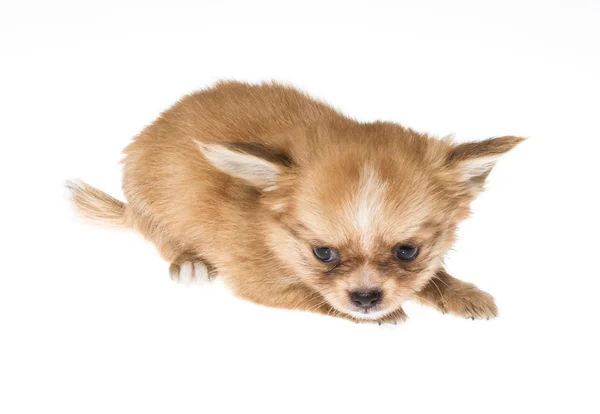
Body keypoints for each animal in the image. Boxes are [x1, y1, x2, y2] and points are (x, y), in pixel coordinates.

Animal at [68, 81, 524, 324]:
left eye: (407, 251)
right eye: (323, 253)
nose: (366, 298)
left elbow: (432, 276)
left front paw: (462, 293)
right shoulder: (260, 281)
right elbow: (314, 296)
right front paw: (387, 314)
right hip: (152, 203)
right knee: (163, 237)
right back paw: (190, 262)